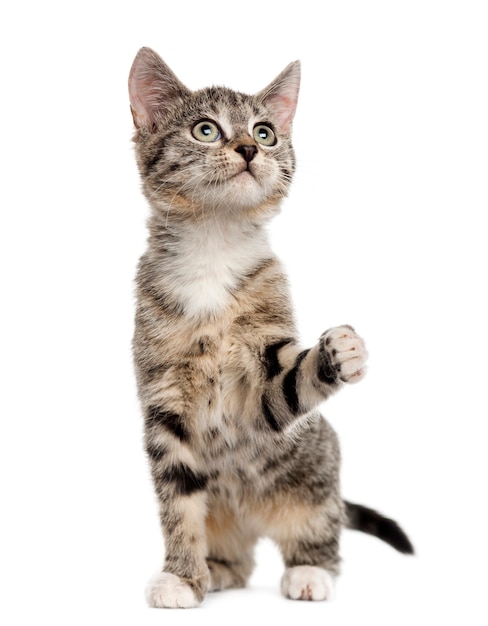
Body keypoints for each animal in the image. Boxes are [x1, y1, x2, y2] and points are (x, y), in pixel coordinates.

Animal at [129, 47, 412, 604]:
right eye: (205, 130)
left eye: (265, 133)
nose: (247, 149)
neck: (213, 250)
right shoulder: (164, 402)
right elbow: (178, 504)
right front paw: (181, 576)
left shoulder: (257, 390)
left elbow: (287, 386)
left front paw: (338, 354)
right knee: (236, 558)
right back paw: (216, 568)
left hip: (315, 480)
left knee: (321, 533)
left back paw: (310, 572)